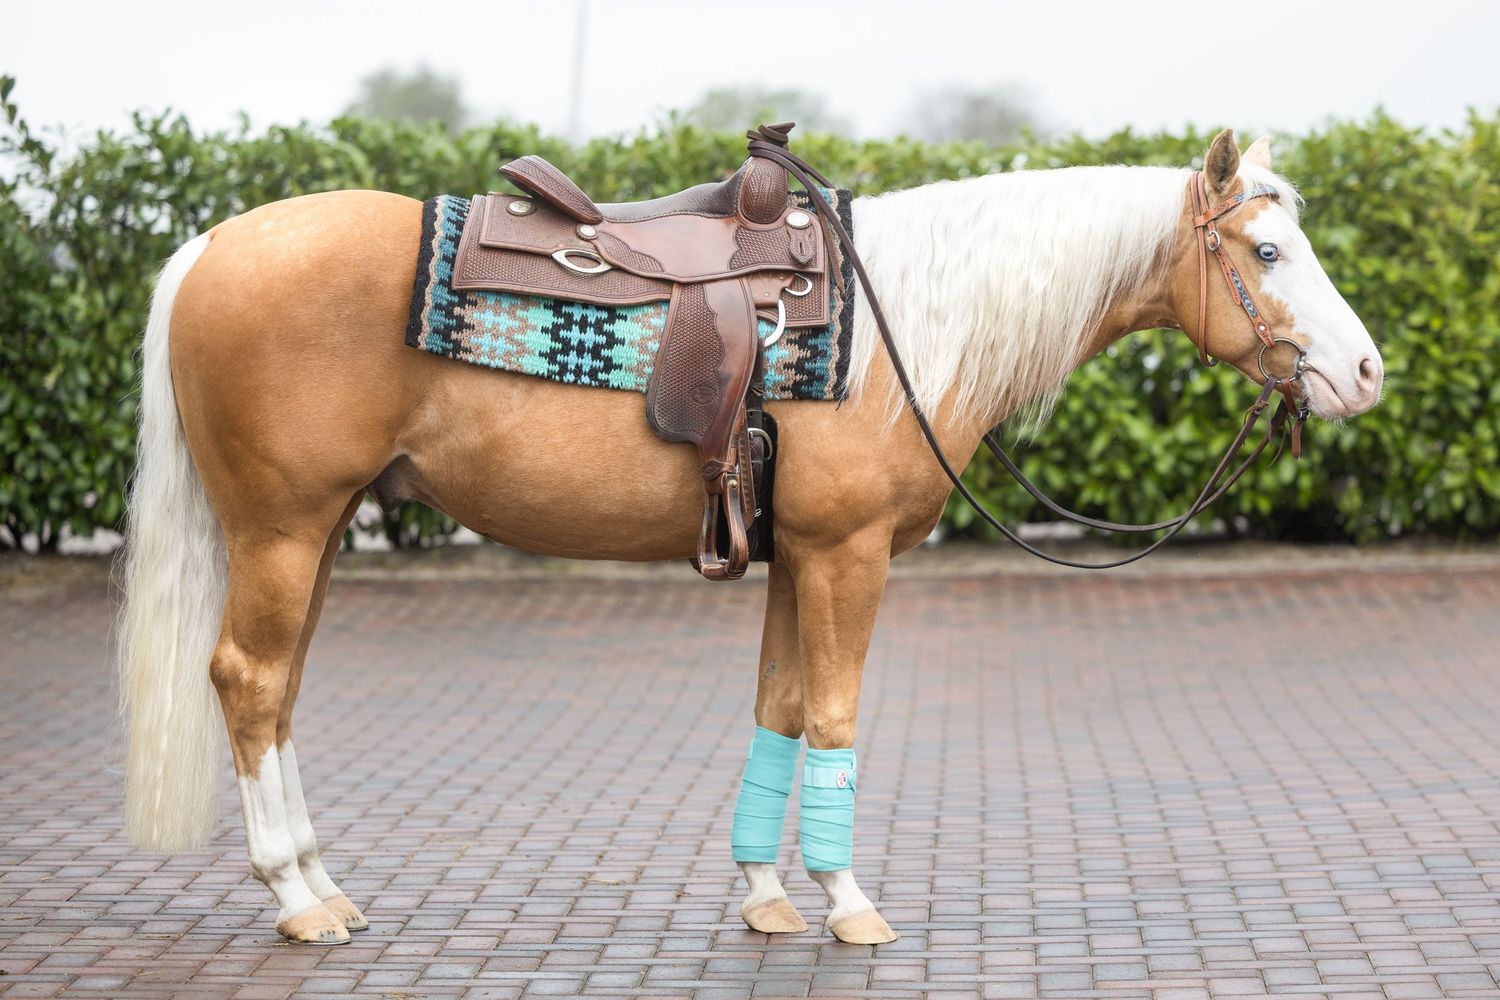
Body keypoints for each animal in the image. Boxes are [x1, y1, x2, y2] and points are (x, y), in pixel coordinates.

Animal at [116, 129, 1383, 946]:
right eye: (1267, 254)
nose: (1366, 372)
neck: (896, 325)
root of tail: (207, 248)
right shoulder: (847, 553)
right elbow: (833, 715)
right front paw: (849, 901)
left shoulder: (797, 554)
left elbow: (779, 707)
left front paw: (767, 893)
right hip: (284, 528)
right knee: (249, 679)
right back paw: (295, 900)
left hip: (321, 530)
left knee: (278, 690)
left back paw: (322, 882)